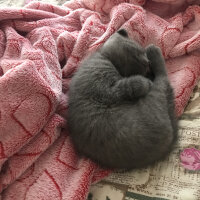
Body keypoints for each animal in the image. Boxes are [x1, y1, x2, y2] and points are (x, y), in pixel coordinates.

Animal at [67, 28, 178, 170]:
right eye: (140, 55)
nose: (147, 63)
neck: (104, 56)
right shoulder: (108, 89)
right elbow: (131, 84)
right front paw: (145, 81)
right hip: (154, 100)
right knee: (162, 78)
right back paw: (154, 52)